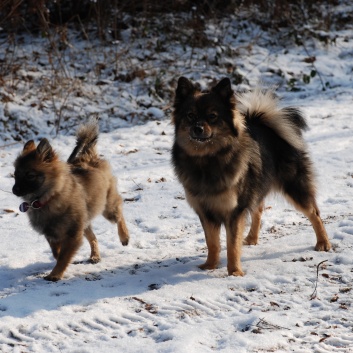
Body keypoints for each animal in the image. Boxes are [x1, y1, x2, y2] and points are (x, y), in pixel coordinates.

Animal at [13, 119, 130, 280]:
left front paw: (55, 275)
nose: (14, 190)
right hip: (85, 222)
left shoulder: (72, 233)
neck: (48, 197)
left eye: (30, 175)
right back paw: (95, 256)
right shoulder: (52, 234)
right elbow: (57, 253)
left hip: (107, 208)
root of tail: (90, 157)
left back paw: (124, 237)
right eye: (15, 175)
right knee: (93, 237)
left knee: (119, 214)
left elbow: (63, 257)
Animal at [171, 76, 330, 276]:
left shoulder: (234, 211)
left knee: (314, 213)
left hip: (294, 187)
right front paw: (210, 266)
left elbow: (232, 246)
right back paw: (252, 238)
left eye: (212, 116)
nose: (197, 129)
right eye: (190, 115)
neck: (206, 159)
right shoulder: (206, 211)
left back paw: (323, 243)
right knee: (258, 210)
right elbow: (212, 243)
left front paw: (234, 273)